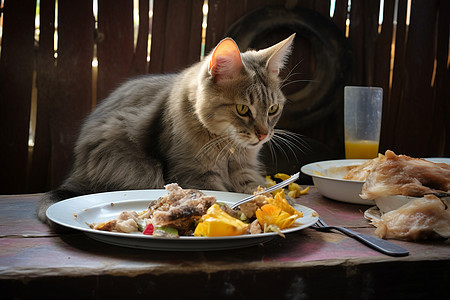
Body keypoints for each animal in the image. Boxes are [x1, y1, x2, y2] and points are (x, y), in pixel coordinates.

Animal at [37, 34, 296, 223]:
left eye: (273, 109)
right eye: (242, 109)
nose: (263, 134)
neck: (227, 148)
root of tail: (77, 170)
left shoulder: (244, 170)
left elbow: (259, 188)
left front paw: (281, 204)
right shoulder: (194, 173)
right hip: (134, 165)